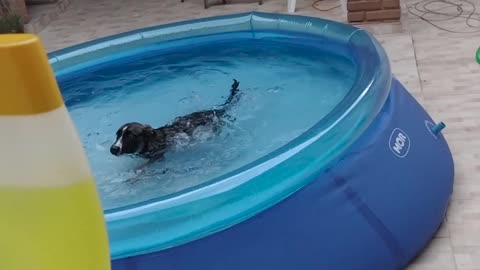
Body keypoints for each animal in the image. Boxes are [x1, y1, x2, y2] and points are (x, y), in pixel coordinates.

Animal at [111, 78, 242, 162]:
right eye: (117, 134)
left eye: (130, 135)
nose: (113, 149)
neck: (151, 141)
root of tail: (217, 111)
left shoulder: (158, 157)